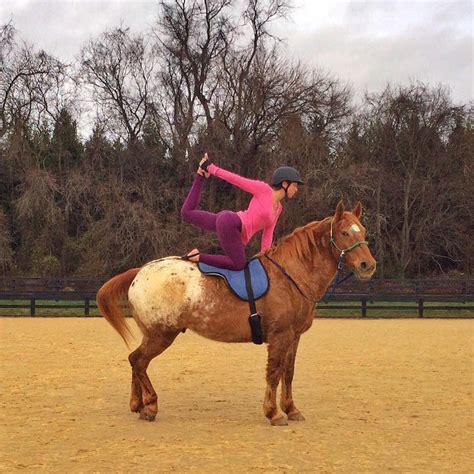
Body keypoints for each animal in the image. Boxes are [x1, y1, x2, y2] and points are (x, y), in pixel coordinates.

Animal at [97, 200, 378, 426]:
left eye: (363, 231)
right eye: (344, 232)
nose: (368, 265)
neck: (290, 275)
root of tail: (141, 271)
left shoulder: (294, 336)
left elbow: (288, 373)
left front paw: (291, 409)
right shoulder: (280, 336)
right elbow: (274, 373)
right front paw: (274, 413)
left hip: (153, 335)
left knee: (136, 361)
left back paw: (138, 404)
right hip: (161, 335)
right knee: (138, 361)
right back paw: (151, 405)